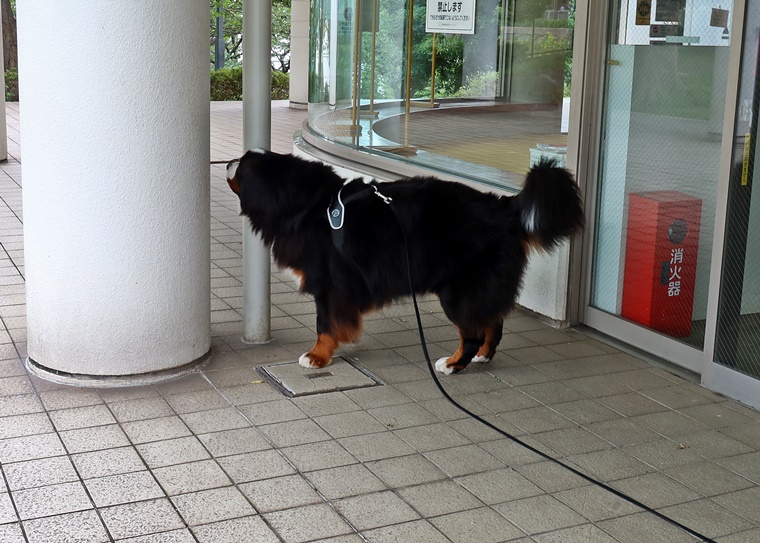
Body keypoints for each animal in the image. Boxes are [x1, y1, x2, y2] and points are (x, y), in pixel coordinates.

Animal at [226, 149, 583, 374]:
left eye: (241, 165)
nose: (227, 161)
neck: (309, 205)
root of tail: (503, 206)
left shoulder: (330, 286)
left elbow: (324, 325)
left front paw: (317, 356)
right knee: (492, 322)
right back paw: (482, 357)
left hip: (457, 290)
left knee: (473, 331)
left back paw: (453, 365)